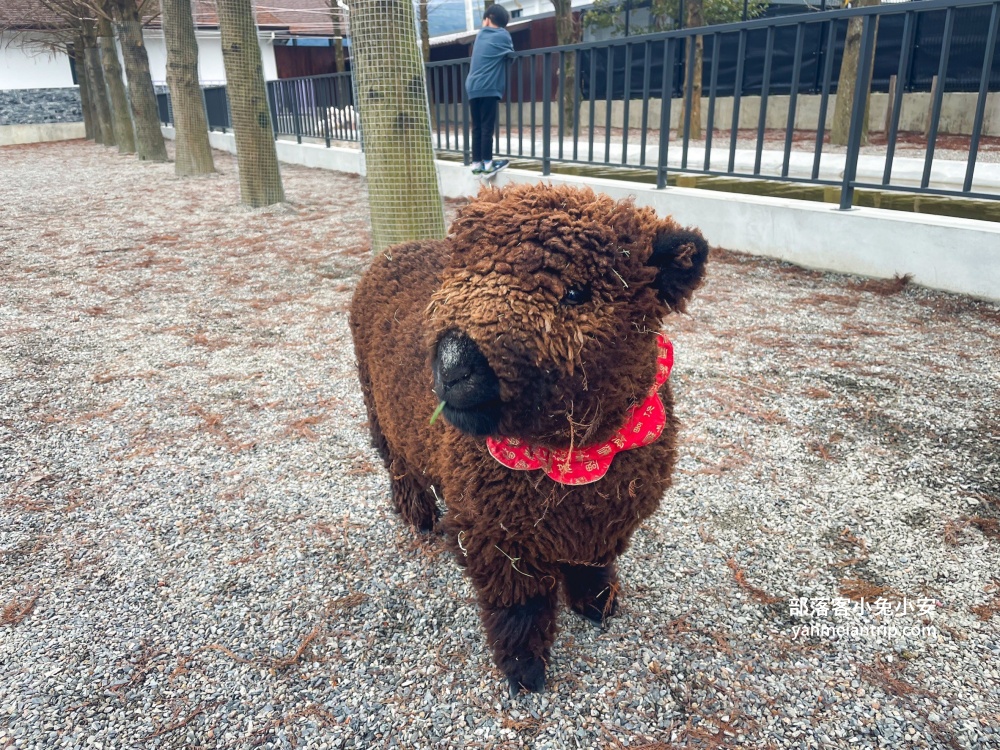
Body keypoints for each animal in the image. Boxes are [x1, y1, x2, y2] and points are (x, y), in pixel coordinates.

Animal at [348, 184, 708, 700]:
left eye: (577, 292)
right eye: (460, 271)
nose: (451, 365)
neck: (577, 458)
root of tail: (396, 249)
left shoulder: (607, 519)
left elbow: (593, 563)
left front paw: (597, 606)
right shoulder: (497, 538)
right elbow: (520, 607)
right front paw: (524, 671)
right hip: (377, 407)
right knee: (398, 466)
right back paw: (418, 515)